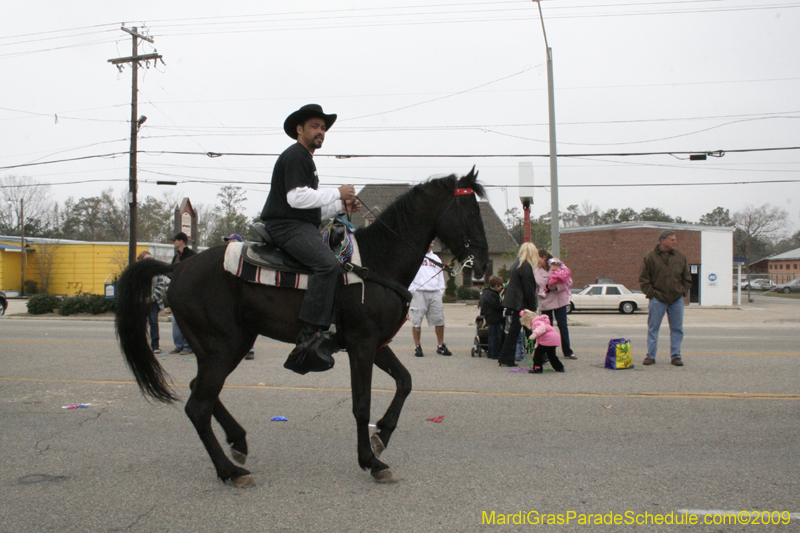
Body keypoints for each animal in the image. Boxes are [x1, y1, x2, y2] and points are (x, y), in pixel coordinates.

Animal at [112, 169, 488, 486]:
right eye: (470, 212)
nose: (483, 265)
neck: (377, 262)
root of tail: (178, 269)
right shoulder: (362, 345)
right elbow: (361, 404)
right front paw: (371, 461)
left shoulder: (375, 344)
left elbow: (405, 382)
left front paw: (381, 436)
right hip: (222, 347)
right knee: (198, 406)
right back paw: (231, 471)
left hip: (230, 344)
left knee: (198, 392)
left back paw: (238, 442)